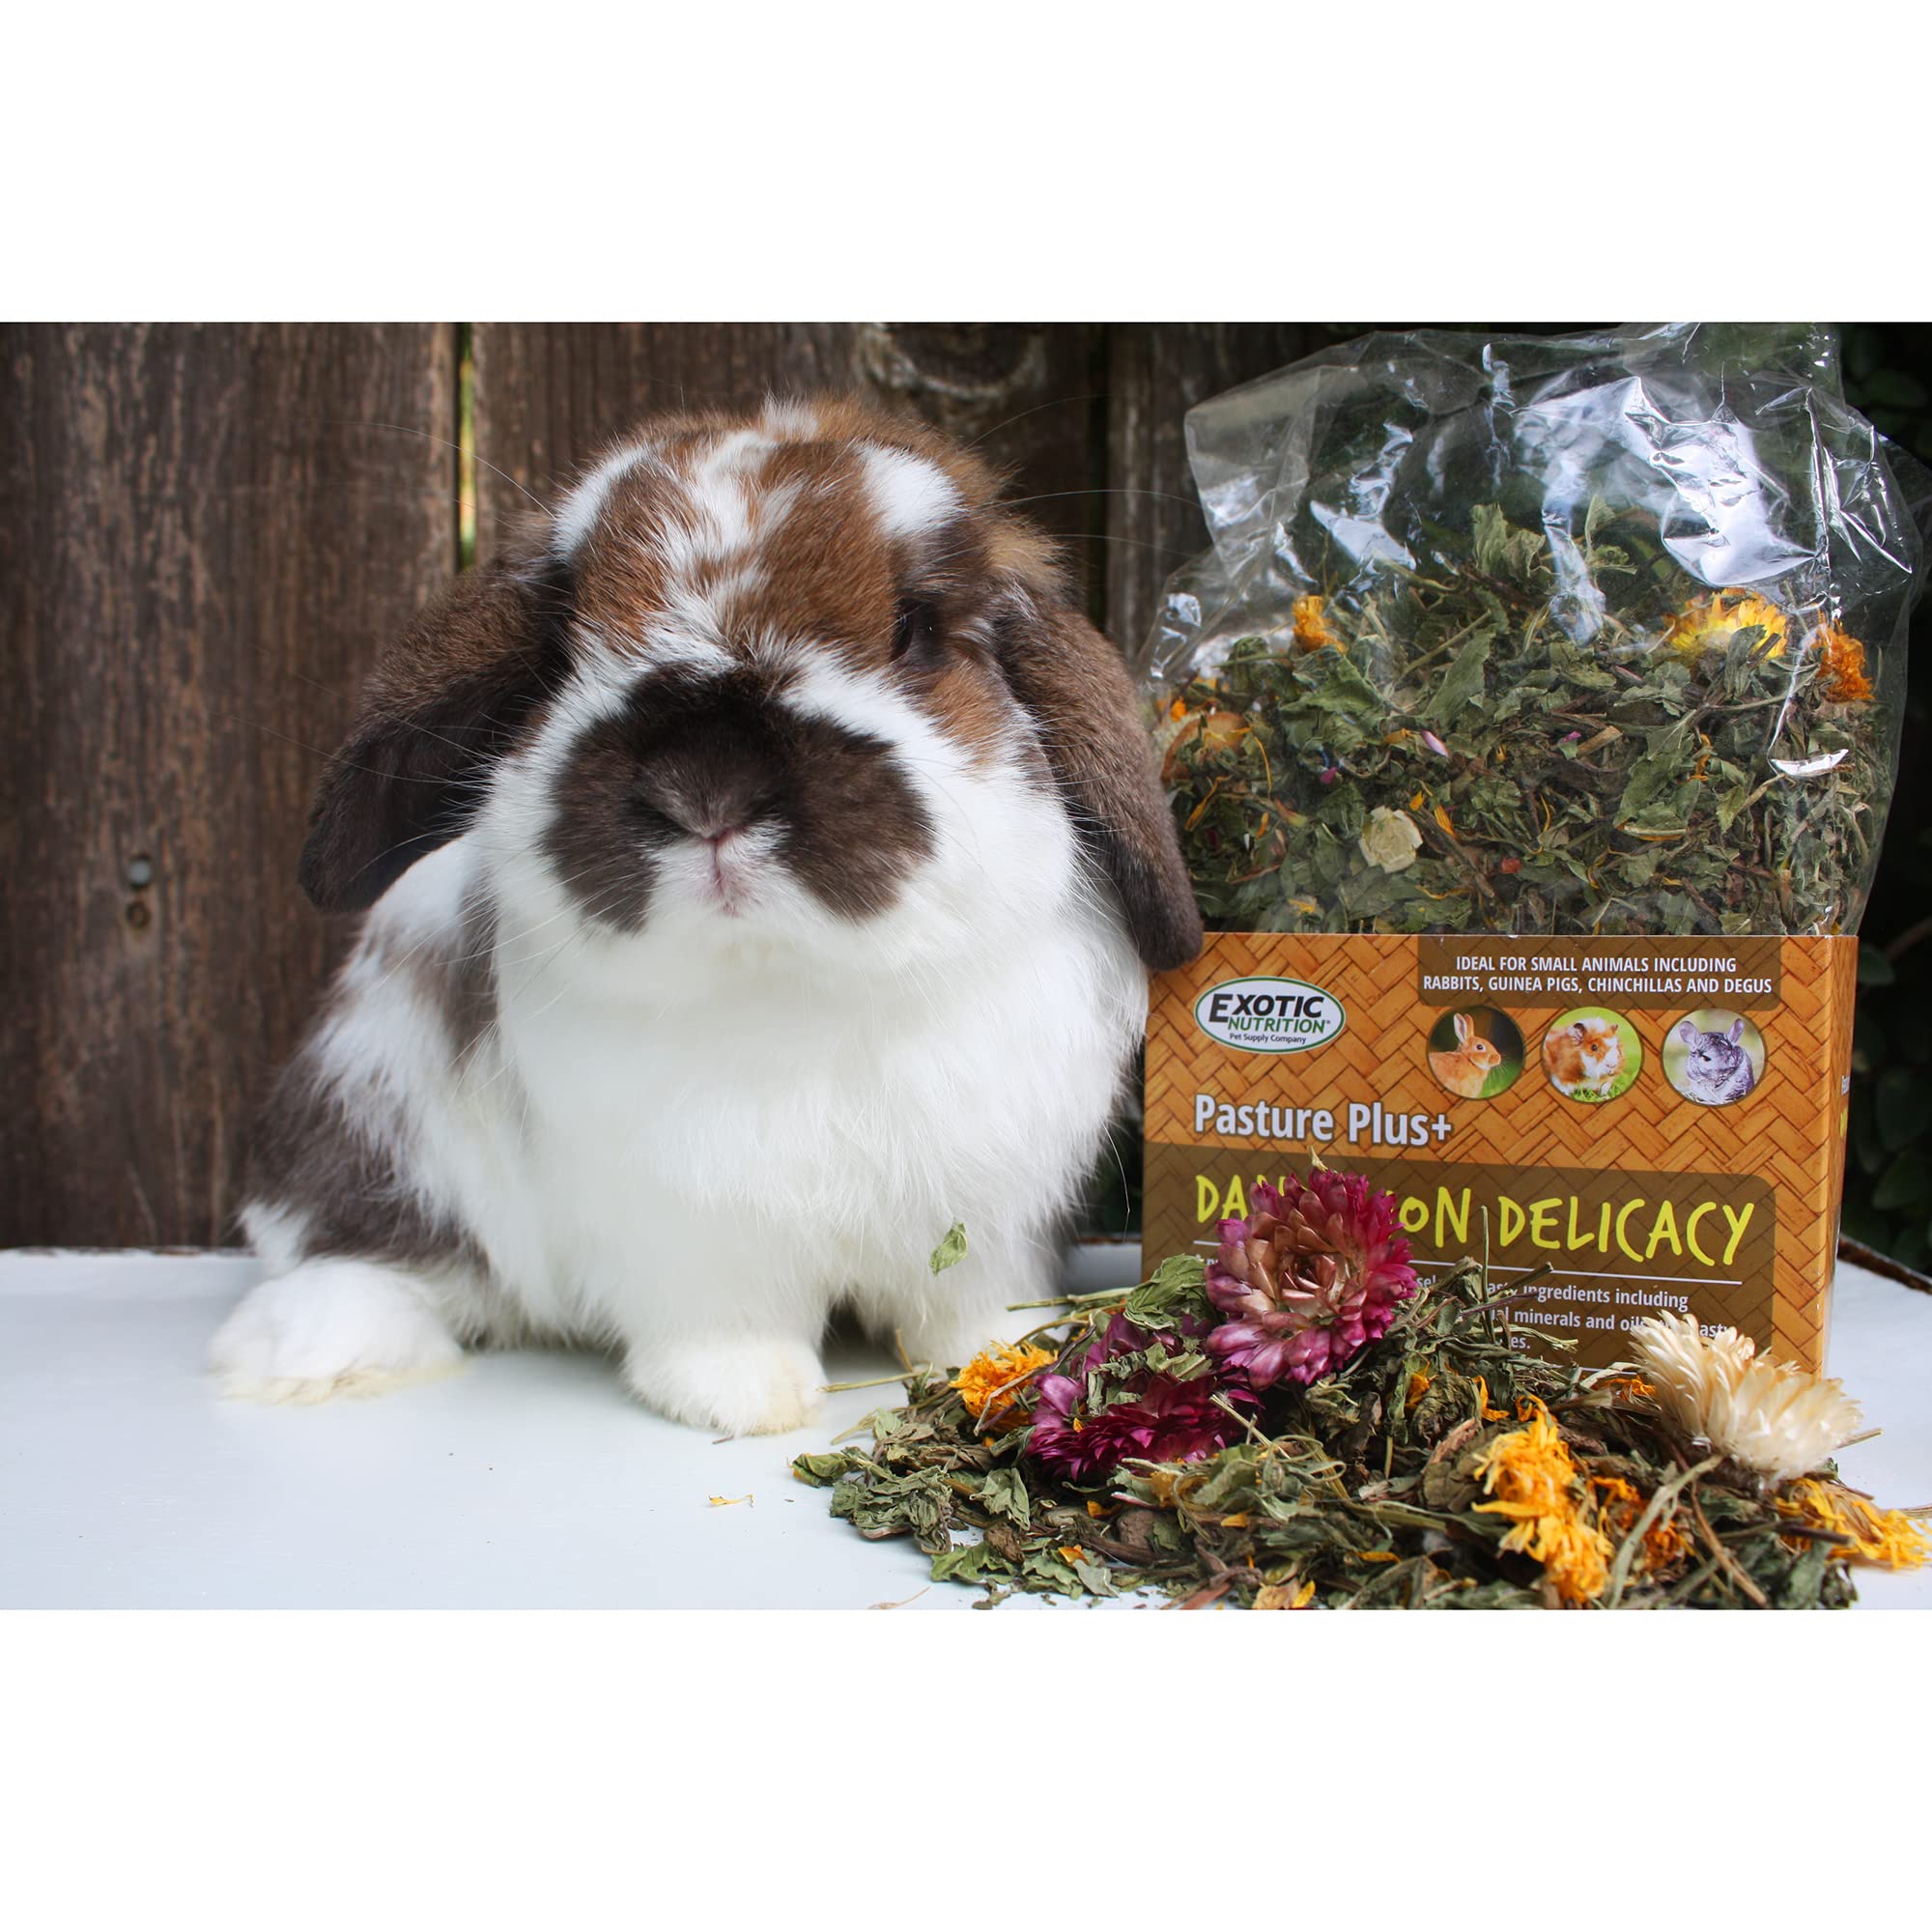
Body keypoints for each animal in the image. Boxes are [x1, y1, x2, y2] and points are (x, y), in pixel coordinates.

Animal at [209, 396, 1203, 1435]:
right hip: (361, 1123)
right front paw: (745, 1400)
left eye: (913, 627)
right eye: (561, 647)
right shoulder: (689, 1234)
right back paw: (317, 1360)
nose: (706, 787)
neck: (789, 987)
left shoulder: (991, 1213)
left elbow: (971, 1306)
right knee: (357, 1254)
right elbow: (724, 1324)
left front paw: (1003, 1364)